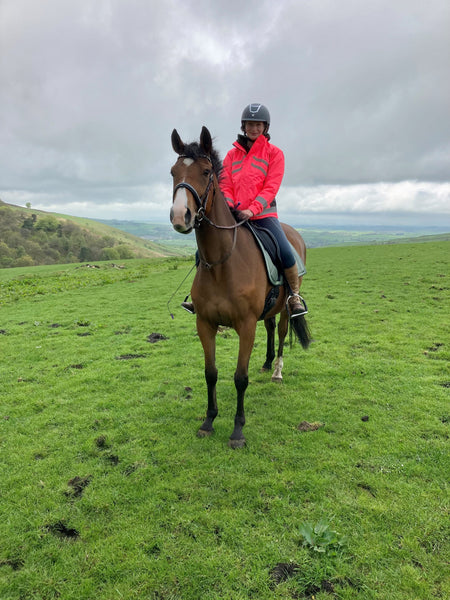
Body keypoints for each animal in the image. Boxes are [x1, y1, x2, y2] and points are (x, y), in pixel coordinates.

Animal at [169, 125, 310, 446]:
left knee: (281, 333)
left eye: (206, 171)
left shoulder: (246, 325)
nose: (180, 216)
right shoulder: (205, 323)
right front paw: (208, 421)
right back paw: (267, 363)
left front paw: (237, 430)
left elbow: (239, 378)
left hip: (286, 306)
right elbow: (211, 373)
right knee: (270, 328)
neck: (223, 262)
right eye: (173, 172)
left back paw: (277, 371)